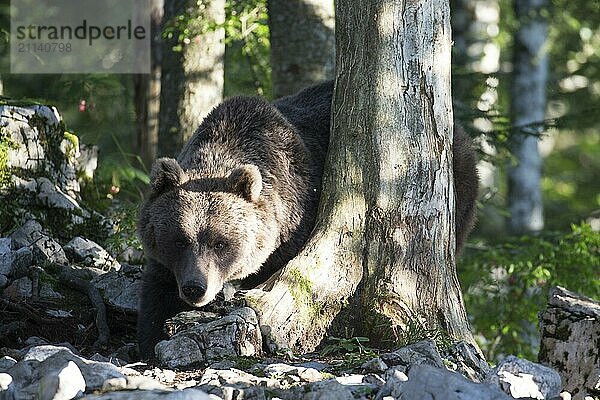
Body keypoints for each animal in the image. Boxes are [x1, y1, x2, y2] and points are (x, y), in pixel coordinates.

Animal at [137, 82, 478, 360]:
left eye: (220, 242)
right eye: (179, 239)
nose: (196, 288)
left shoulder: (294, 218)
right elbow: (157, 290)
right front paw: (151, 339)